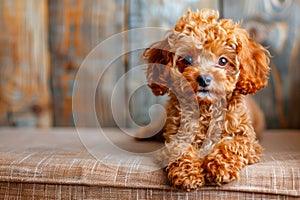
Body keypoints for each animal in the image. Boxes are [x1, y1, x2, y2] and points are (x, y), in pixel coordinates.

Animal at [142, 8, 270, 191]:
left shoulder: (248, 141)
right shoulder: (176, 137)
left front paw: (220, 167)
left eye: (223, 60)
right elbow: (180, 149)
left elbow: (231, 145)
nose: (203, 79)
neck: (206, 108)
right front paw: (188, 174)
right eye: (187, 60)